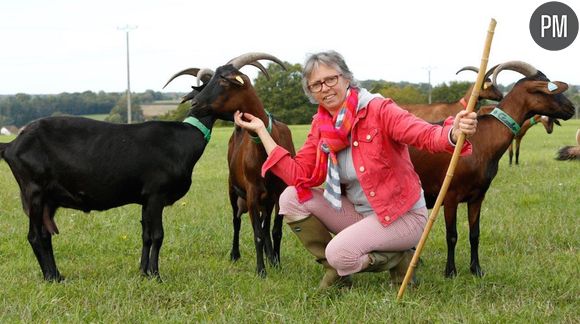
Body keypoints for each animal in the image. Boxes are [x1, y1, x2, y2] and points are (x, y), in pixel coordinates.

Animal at [0, 81, 215, 280]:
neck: (182, 141)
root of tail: (12, 145)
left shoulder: (145, 199)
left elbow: (145, 235)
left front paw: (143, 273)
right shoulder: (156, 195)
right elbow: (157, 235)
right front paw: (155, 275)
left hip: (49, 199)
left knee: (45, 235)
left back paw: (57, 276)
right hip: (34, 191)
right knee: (35, 236)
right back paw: (51, 278)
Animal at [190, 53, 296, 276]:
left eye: (223, 80)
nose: (193, 103)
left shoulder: (279, 192)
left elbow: (275, 230)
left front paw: (276, 263)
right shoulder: (252, 192)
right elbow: (257, 233)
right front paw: (261, 271)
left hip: (267, 199)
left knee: (265, 225)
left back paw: (270, 256)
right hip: (233, 189)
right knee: (236, 221)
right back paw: (235, 254)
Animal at [408, 61, 576, 278]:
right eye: (548, 87)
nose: (572, 108)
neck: (482, 139)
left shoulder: (478, 195)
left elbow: (474, 234)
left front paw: (476, 269)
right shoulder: (450, 195)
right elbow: (452, 235)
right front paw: (450, 272)